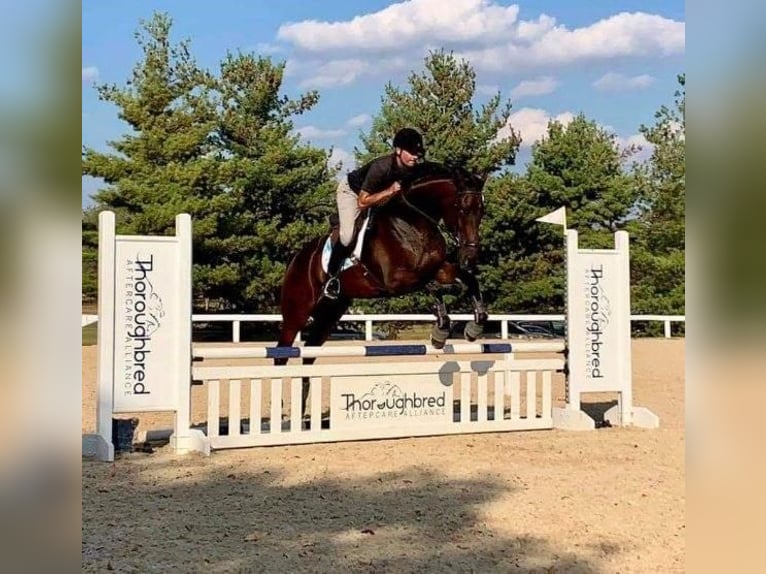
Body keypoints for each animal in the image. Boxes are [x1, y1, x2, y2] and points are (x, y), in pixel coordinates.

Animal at [280, 162, 488, 360]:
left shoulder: (438, 268)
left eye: (481, 211)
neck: (413, 222)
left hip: (331, 312)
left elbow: (468, 280)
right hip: (297, 312)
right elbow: (433, 286)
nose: (470, 257)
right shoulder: (396, 280)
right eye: (462, 208)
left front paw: (474, 326)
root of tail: (295, 259)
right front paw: (441, 330)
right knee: (284, 348)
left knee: (310, 349)